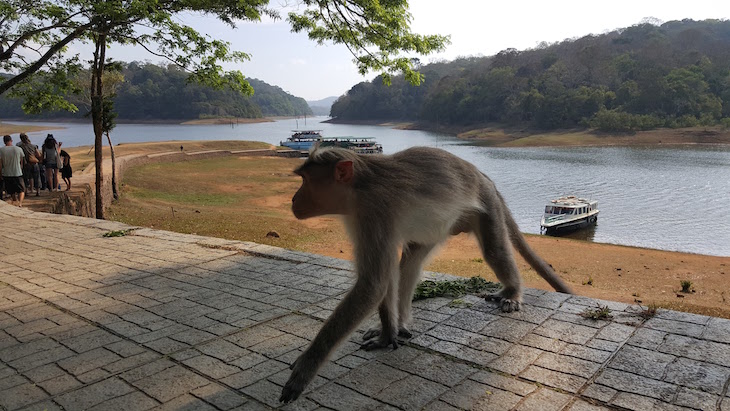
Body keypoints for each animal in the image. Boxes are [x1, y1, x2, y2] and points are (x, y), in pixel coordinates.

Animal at [278, 146, 568, 402]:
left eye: (306, 181)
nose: (293, 198)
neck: (359, 188)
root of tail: (482, 175)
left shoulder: (375, 212)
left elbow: (373, 284)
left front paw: (305, 370)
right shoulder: (361, 218)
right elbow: (383, 279)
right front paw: (387, 334)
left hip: (485, 204)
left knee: (494, 250)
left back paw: (512, 292)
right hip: (441, 225)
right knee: (409, 262)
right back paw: (401, 324)